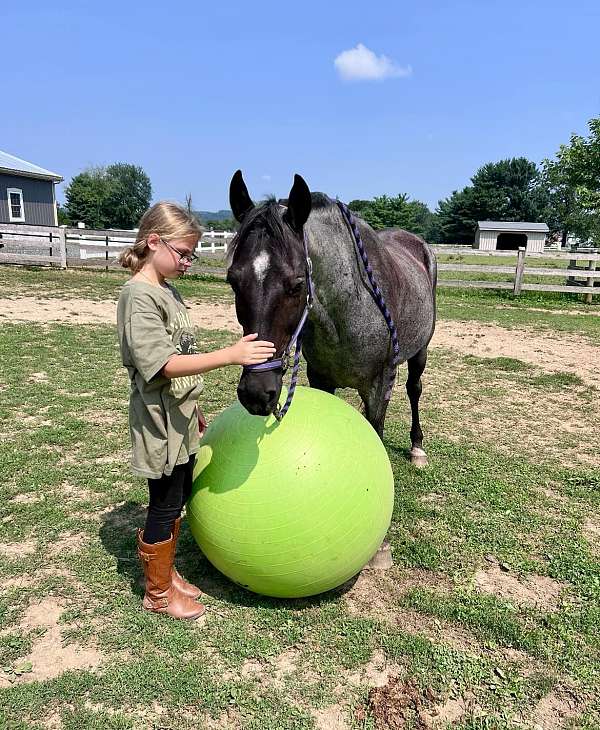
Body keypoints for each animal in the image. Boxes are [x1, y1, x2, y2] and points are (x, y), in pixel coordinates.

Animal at [225, 169, 436, 466]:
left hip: (420, 351)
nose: (255, 393)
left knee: (414, 389)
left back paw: (417, 447)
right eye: (232, 281)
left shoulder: (379, 387)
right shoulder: (320, 378)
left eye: (297, 285)